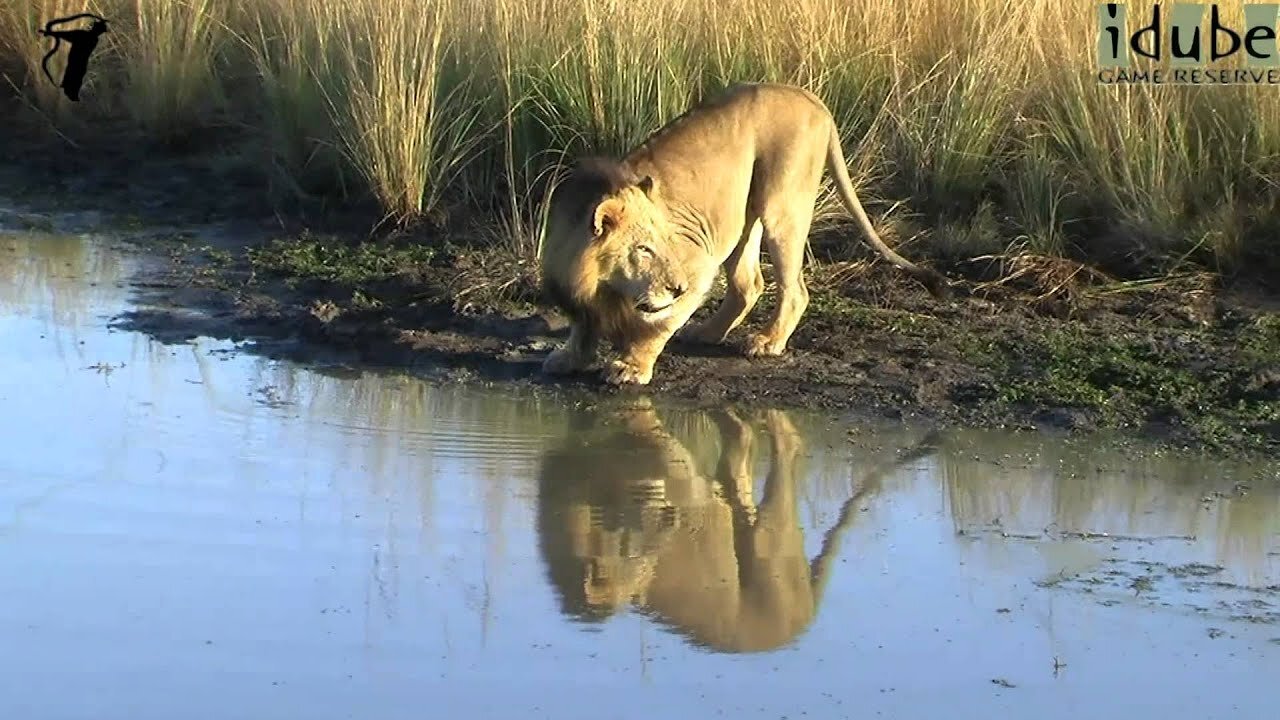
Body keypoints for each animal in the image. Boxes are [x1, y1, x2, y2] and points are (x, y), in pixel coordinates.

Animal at [540, 81, 952, 384]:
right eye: (644, 249)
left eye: (664, 245)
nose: (676, 288)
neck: (601, 282)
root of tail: (813, 100)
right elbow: (583, 326)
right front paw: (568, 358)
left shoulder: (697, 264)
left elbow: (654, 327)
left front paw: (631, 367)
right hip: (742, 218)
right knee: (748, 284)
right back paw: (707, 332)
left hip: (782, 205)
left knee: (794, 290)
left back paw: (767, 342)